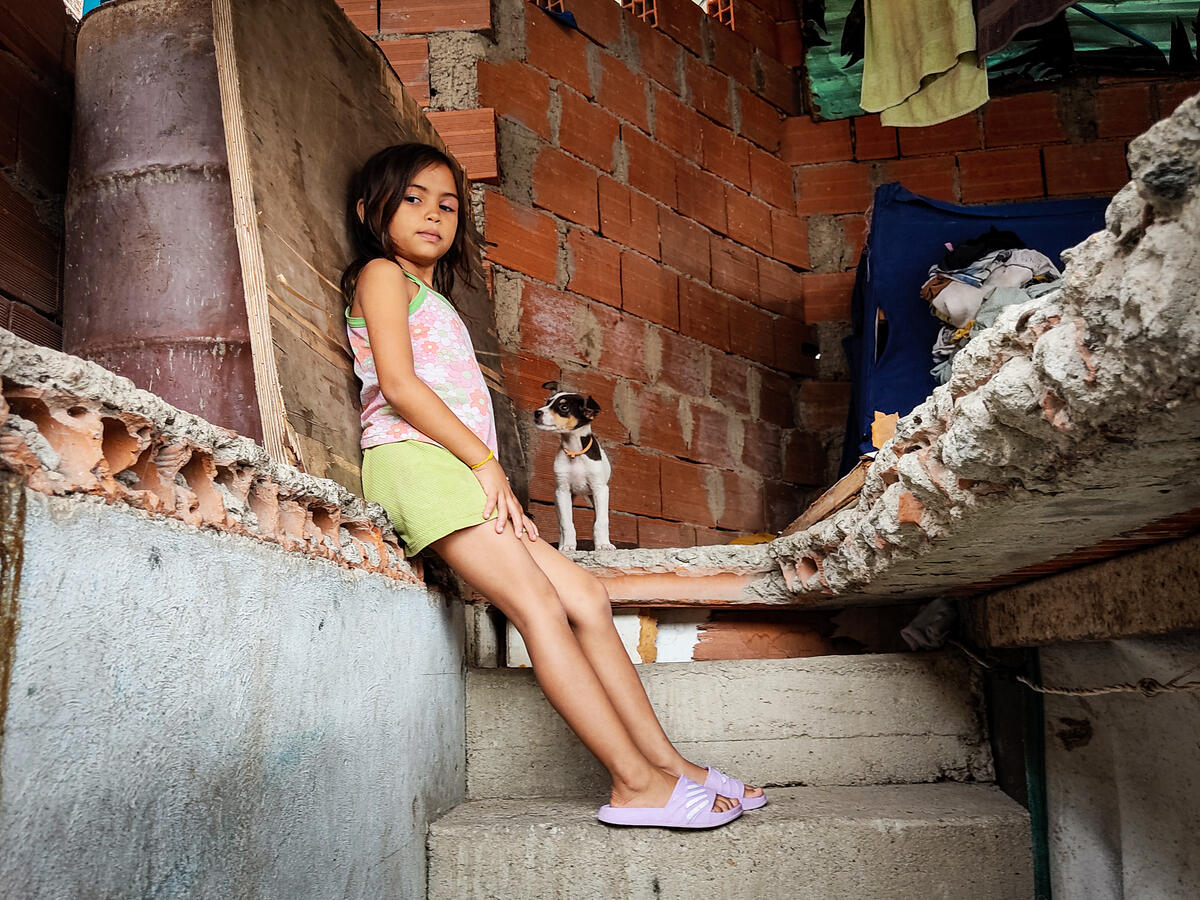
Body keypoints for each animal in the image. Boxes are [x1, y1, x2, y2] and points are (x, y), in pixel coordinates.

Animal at [535, 379, 614, 549]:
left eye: (564, 407)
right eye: (547, 402)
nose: (537, 412)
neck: (574, 452)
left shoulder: (600, 489)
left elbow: (601, 522)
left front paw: (603, 545)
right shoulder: (563, 491)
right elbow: (566, 524)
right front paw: (569, 546)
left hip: (594, 496)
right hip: (561, 499)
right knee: (560, 525)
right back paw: (561, 545)